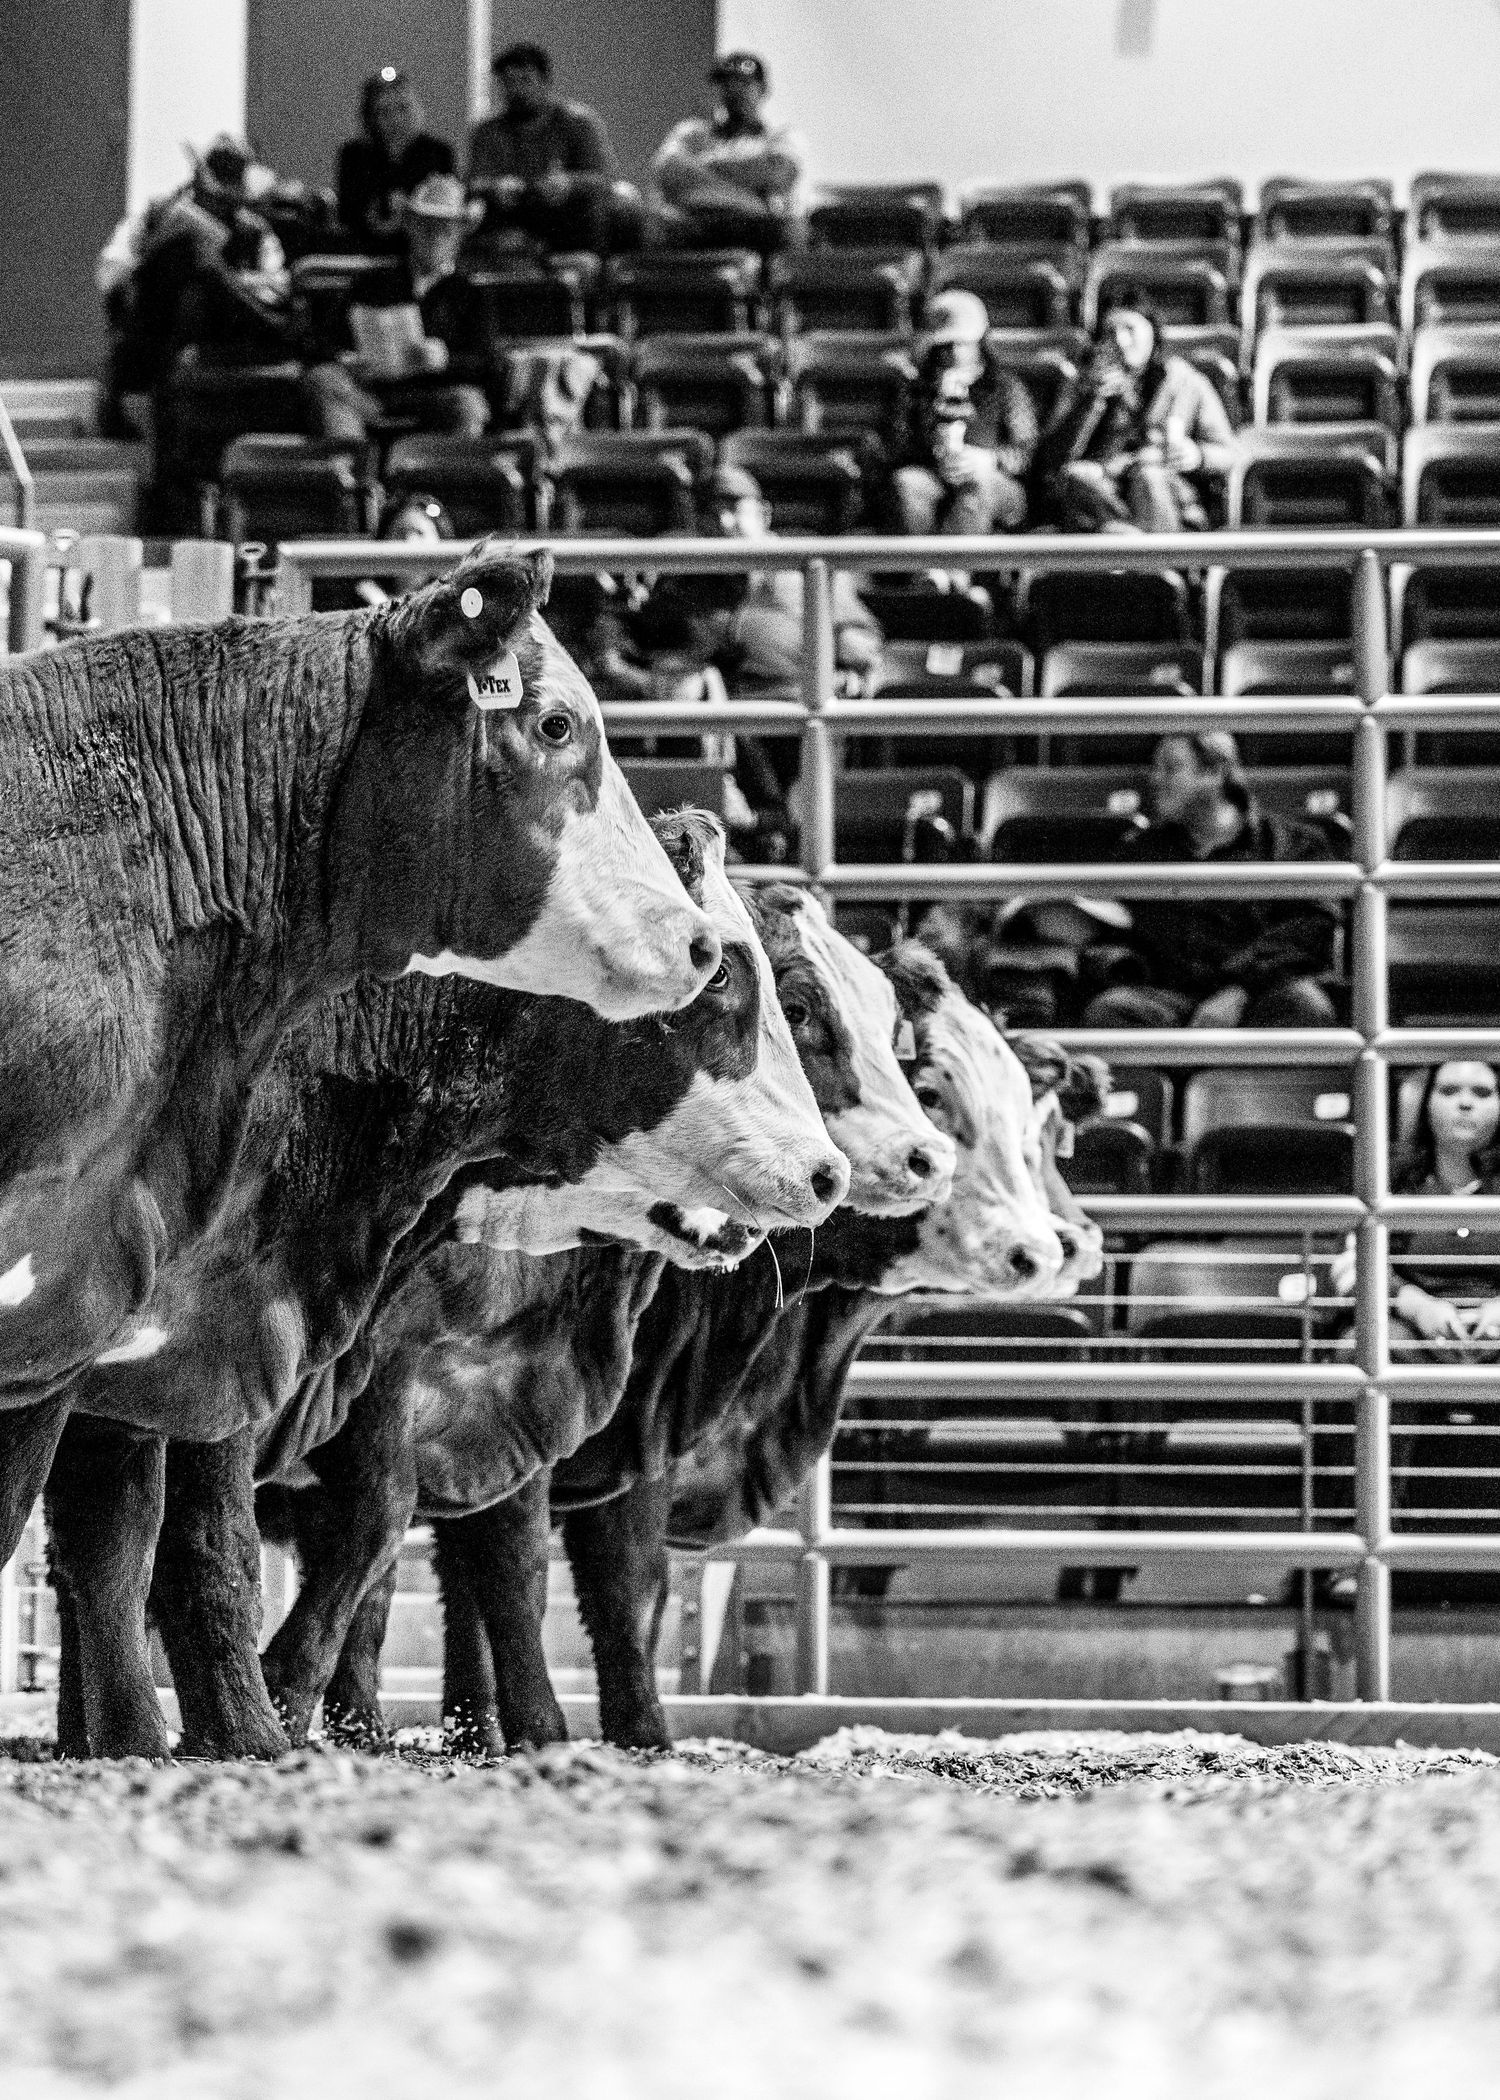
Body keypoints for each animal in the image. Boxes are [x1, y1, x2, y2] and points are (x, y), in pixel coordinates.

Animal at [269, 946, 1073, 1754]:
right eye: (933, 1089)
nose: (1047, 1250)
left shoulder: (542, 1411)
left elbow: (524, 1577)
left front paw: (484, 1731)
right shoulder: (407, 1387)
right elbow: (444, 1552)